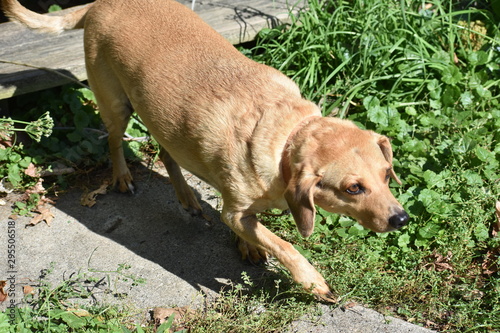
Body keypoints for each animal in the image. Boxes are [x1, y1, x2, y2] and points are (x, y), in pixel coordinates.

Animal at [2, 0, 406, 300]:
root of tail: (100, 3)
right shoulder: (235, 212)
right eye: (352, 188)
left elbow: (257, 231)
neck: (285, 136)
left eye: (387, 175)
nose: (401, 219)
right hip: (114, 105)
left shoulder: (241, 207)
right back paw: (122, 177)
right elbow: (284, 245)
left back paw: (186, 196)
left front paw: (248, 246)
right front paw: (310, 279)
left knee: (167, 154)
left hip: (164, 124)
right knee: (115, 142)